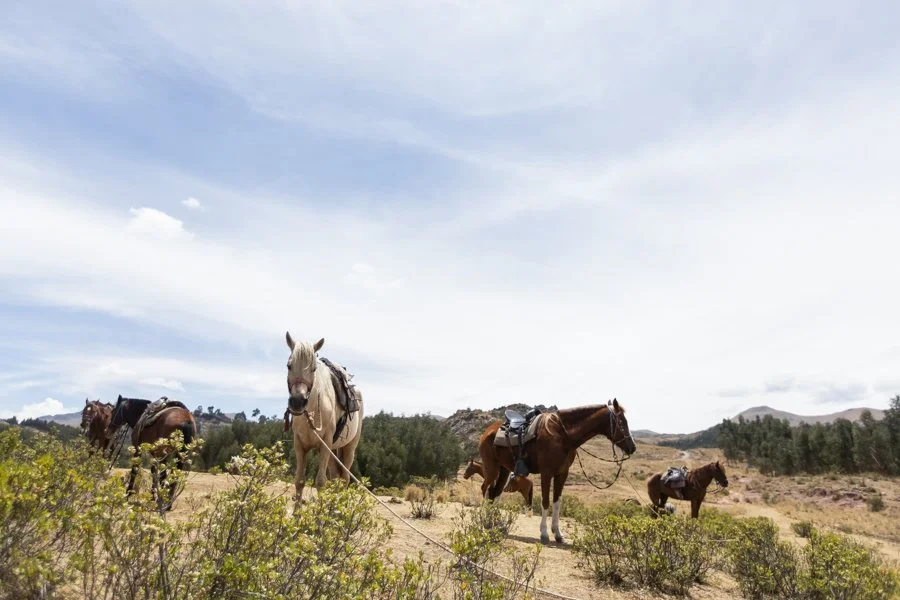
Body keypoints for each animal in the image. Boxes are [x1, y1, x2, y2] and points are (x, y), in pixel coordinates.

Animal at [285, 332, 364, 504]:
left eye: (313, 368)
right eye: (289, 366)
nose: (298, 402)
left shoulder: (324, 445)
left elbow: (320, 482)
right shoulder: (300, 445)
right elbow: (299, 481)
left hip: (349, 448)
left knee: (345, 479)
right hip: (334, 450)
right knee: (336, 478)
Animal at [478, 399, 637, 544]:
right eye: (621, 422)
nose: (632, 447)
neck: (562, 435)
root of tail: (488, 431)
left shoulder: (562, 473)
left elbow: (557, 502)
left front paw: (557, 533)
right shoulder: (546, 473)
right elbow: (545, 501)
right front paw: (544, 533)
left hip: (504, 470)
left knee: (494, 493)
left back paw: (492, 523)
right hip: (491, 469)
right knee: (485, 489)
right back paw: (483, 521)